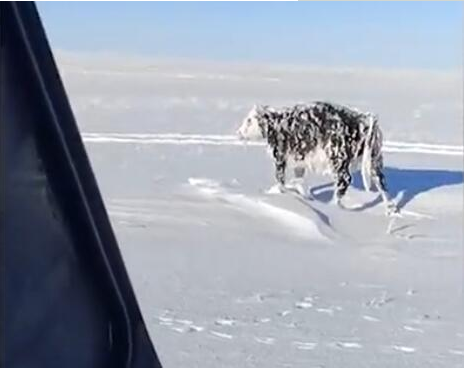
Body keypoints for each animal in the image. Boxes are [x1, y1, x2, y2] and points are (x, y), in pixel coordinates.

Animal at [239, 102, 396, 214]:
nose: (239, 132)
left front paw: (276, 192)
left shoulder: (280, 157)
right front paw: (306, 196)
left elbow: (280, 179)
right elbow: (299, 181)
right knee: (382, 183)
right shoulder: (299, 161)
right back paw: (390, 209)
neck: (277, 123)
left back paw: (333, 206)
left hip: (339, 160)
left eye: (249, 120)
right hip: (374, 160)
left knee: (344, 181)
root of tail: (364, 121)